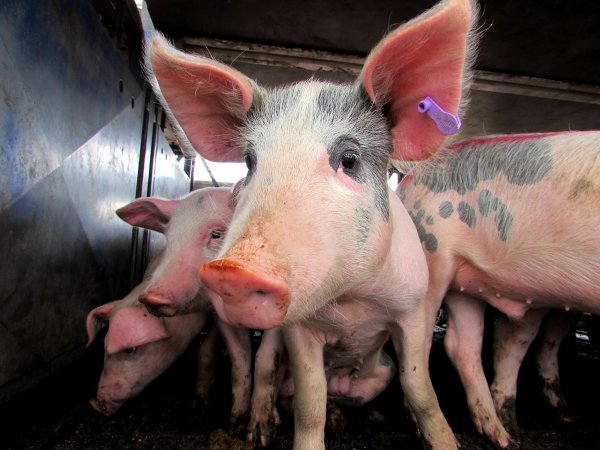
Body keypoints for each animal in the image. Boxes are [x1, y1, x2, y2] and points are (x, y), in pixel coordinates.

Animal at [144, 0, 478, 446]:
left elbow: (421, 389)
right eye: (249, 161)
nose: (231, 269)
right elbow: (310, 402)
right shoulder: (298, 331)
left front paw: (445, 441)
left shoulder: (412, 309)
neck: (353, 301)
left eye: (349, 159)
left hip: (377, 374)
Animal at [398, 129, 600, 446]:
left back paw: (506, 436)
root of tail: (409, 181)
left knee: (466, 346)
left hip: (466, 283)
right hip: (433, 259)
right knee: (421, 350)